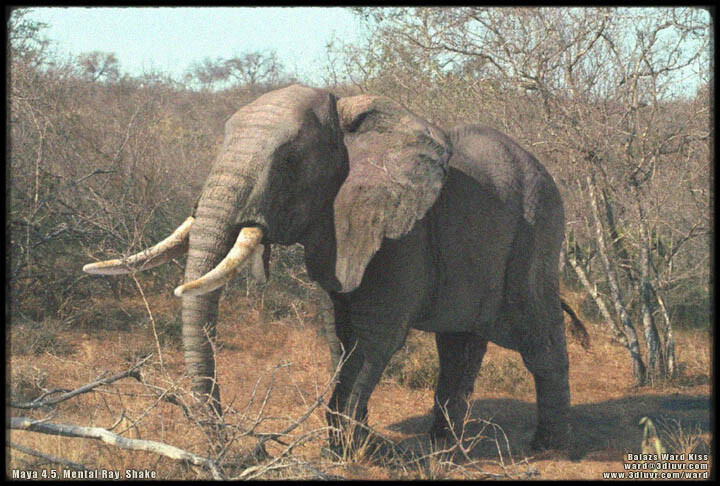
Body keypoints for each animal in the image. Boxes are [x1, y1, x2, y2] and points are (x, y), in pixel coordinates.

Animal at [83, 84, 583, 456]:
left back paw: (549, 447)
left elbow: (376, 335)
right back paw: (444, 448)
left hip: (538, 230)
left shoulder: (404, 234)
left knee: (538, 338)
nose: (237, 449)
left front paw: (347, 452)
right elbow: (336, 331)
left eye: (288, 163)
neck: (348, 118)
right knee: (458, 345)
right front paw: (345, 446)